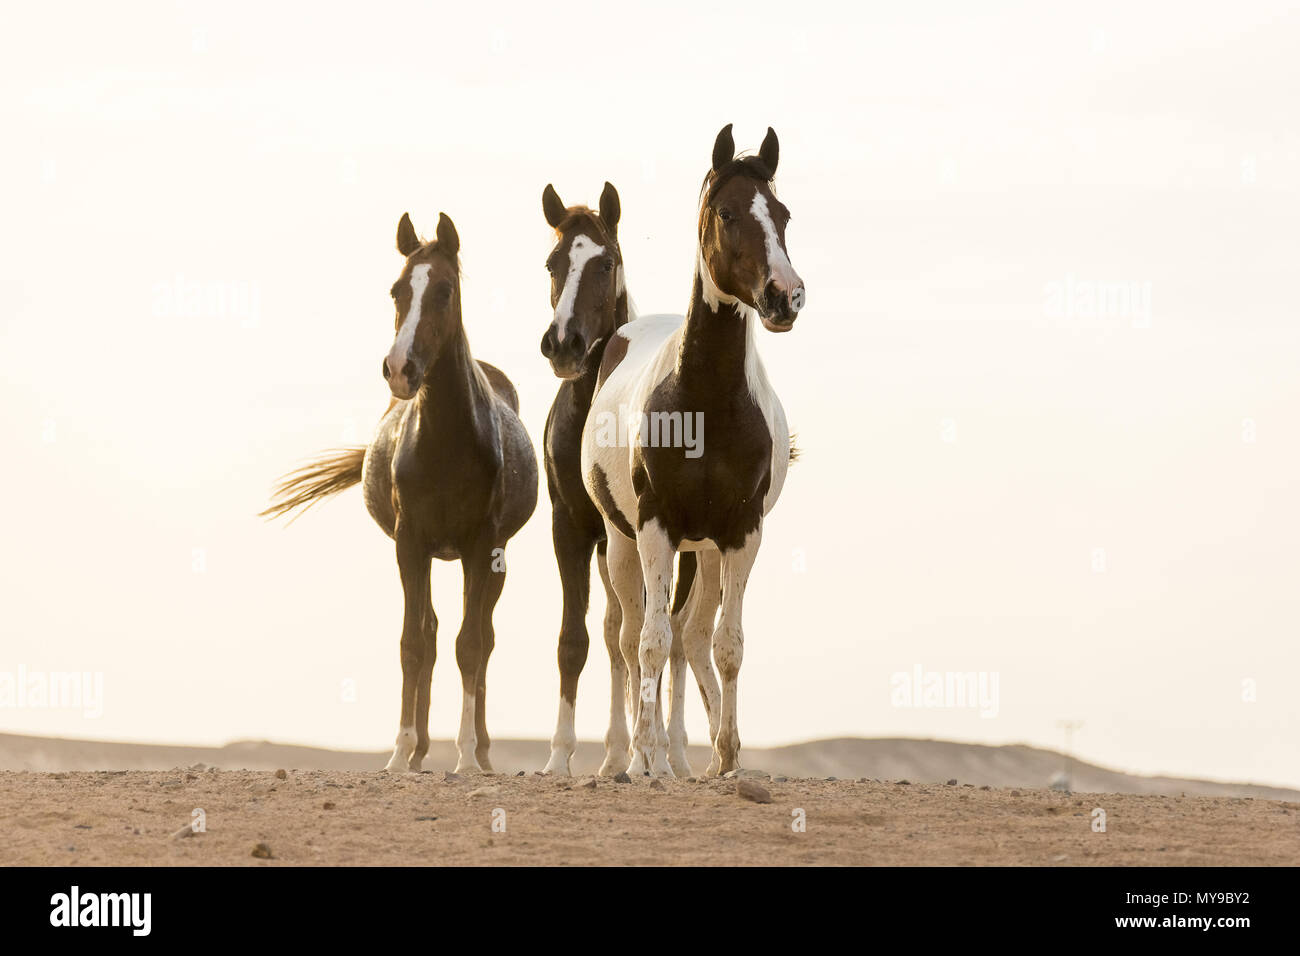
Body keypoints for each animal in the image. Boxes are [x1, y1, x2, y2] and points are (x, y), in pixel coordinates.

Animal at [263, 210, 538, 780]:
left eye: (445, 290)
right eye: (396, 290)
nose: (399, 369)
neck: (444, 442)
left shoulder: (481, 546)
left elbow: (470, 645)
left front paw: (466, 756)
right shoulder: (409, 544)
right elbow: (413, 644)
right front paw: (399, 752)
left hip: (494, 560)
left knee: (482, 637)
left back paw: (480, 751)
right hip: (430, 556)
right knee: (430, 634)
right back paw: (418, 752)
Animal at [535, 184, 707, 780]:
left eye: (606, 262)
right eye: (553, 262)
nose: (563, 344)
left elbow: (648, 640)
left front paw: (646, 750)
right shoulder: (571, 528)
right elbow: (579, 639)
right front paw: (560, 756)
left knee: (674, 640)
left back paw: (670, 753)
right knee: (619, 635)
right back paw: (618, 752)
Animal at [582, 125, 800, 780]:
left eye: (782, 213)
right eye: (726, 213)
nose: (786, 296)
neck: (703, 401)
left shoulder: (741, 533)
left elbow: (726, 644)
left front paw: (727, 757)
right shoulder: (656, 528)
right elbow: (650, 642)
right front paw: (642, 758)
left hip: (702, 552)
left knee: (695, 634)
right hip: (621, 541)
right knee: (630, 637)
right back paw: (637, 755)